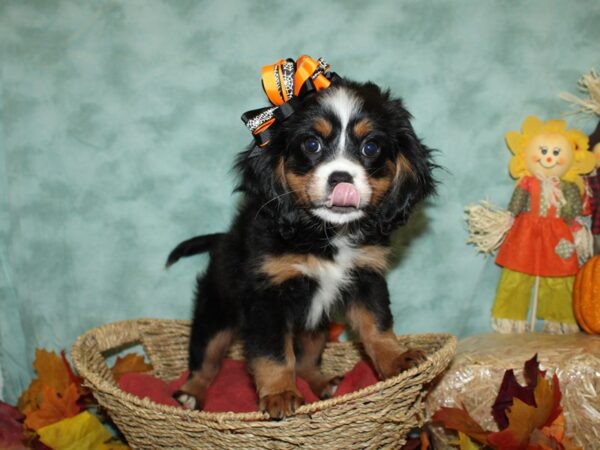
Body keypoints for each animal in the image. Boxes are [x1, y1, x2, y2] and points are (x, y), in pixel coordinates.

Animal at [168, 74, 436, 418]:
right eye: (311, 144)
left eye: (370, 147)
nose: (341, 178)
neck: (325, 234)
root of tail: (221, 239)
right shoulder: (267, 296)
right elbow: (274, 354)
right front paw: (280, 393)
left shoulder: (366, 277)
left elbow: (377, 326)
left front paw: (396, 360)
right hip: (216, 314)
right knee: (206, 360)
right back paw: (191, 394)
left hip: (315, 326)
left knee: (307, 360)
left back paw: (324, 384)